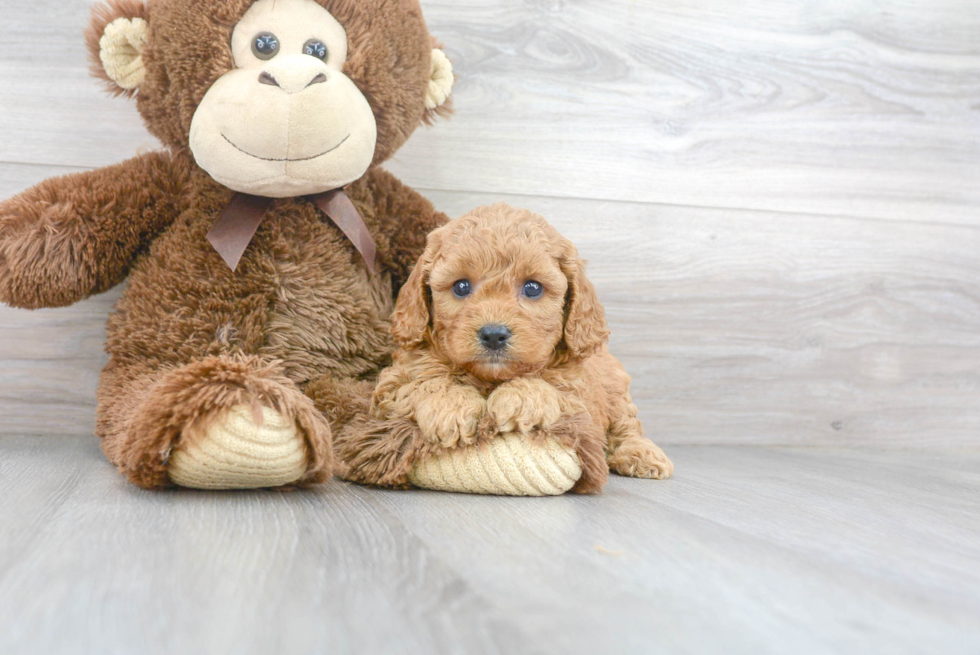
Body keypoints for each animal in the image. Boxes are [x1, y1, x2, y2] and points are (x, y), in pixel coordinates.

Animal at [336, 204, 672, 492]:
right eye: (461, 286)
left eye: (532, 287)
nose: (494, 334)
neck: (488, 378)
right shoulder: (393, 382)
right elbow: (425, 382)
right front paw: (451, 407)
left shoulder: (581, 396)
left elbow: (548, 387)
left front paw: (520, 398)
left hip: (615, 390)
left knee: (627, 426)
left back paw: (643, 455)